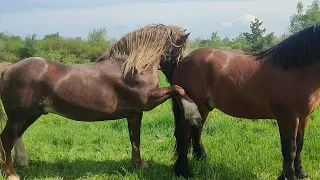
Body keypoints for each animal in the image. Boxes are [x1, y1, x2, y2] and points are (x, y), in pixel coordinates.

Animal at [0, 24, 202, 180]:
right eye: (180, 50)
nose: (181, 72)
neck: (130, 67)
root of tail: (10, 67)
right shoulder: (149, 101)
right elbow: (177, 89)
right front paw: (194, 114)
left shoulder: (135, 113)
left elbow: (135, 139)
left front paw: (138, 164)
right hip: (18, 116)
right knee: (6, 138)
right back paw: (11, 173)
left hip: (33, 113)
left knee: (17, 136)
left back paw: (21, 163)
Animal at [162, 22, 320, 180]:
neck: (294, 70)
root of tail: (183, 61)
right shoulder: (288, 118)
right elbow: (289, 149)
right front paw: (289, 176)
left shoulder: (303, 117)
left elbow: (299, 143)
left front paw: (300, 172)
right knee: (182, 135)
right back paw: (184, 171)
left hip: (203, 107)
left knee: (195, 132)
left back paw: (200, 159)